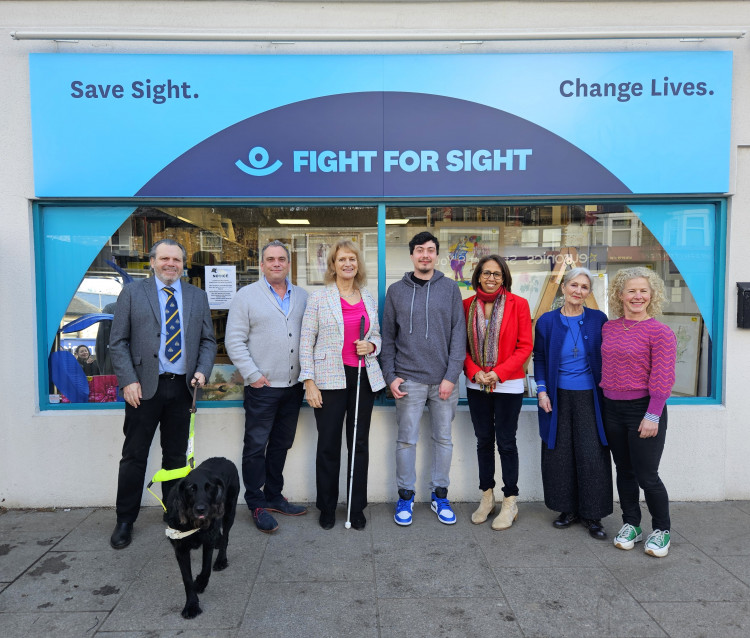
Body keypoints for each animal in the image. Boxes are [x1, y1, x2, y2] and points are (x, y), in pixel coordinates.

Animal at [166, 458, 239, 624]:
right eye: (191, 489)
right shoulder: (180, 549)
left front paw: (200, 583)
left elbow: (206, 568)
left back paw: (221, 560)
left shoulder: (208, 541)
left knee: (225, 537)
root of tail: (224, 459)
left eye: (209, 488)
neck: (193, 523)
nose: (201, 509)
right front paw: (191, 605)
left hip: (229, 510)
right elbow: (186, 579)